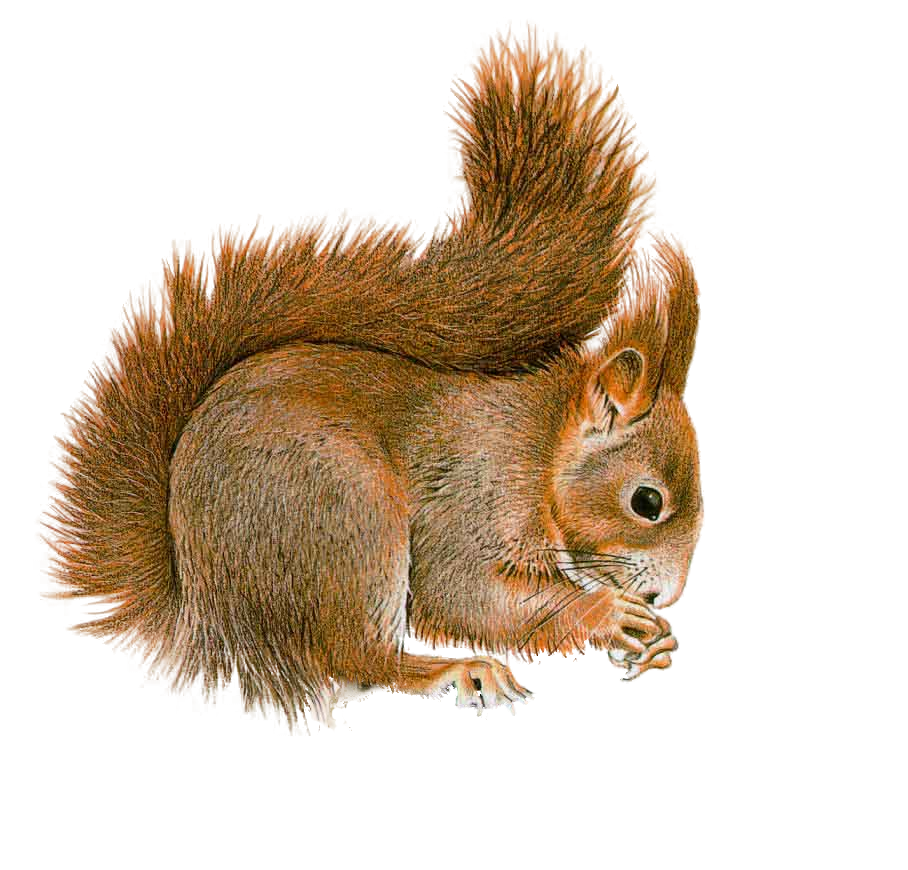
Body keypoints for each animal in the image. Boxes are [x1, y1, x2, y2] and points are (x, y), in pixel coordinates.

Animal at [34, 18, 704, 735]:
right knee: (358, 657)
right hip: (345, 516)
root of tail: (204, 631)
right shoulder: (474, 492)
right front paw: (606, 614)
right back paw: (450, 672)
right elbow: (465, 592)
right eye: (646, 502)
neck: (542, 448)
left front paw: (657, 644)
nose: (669, 595)